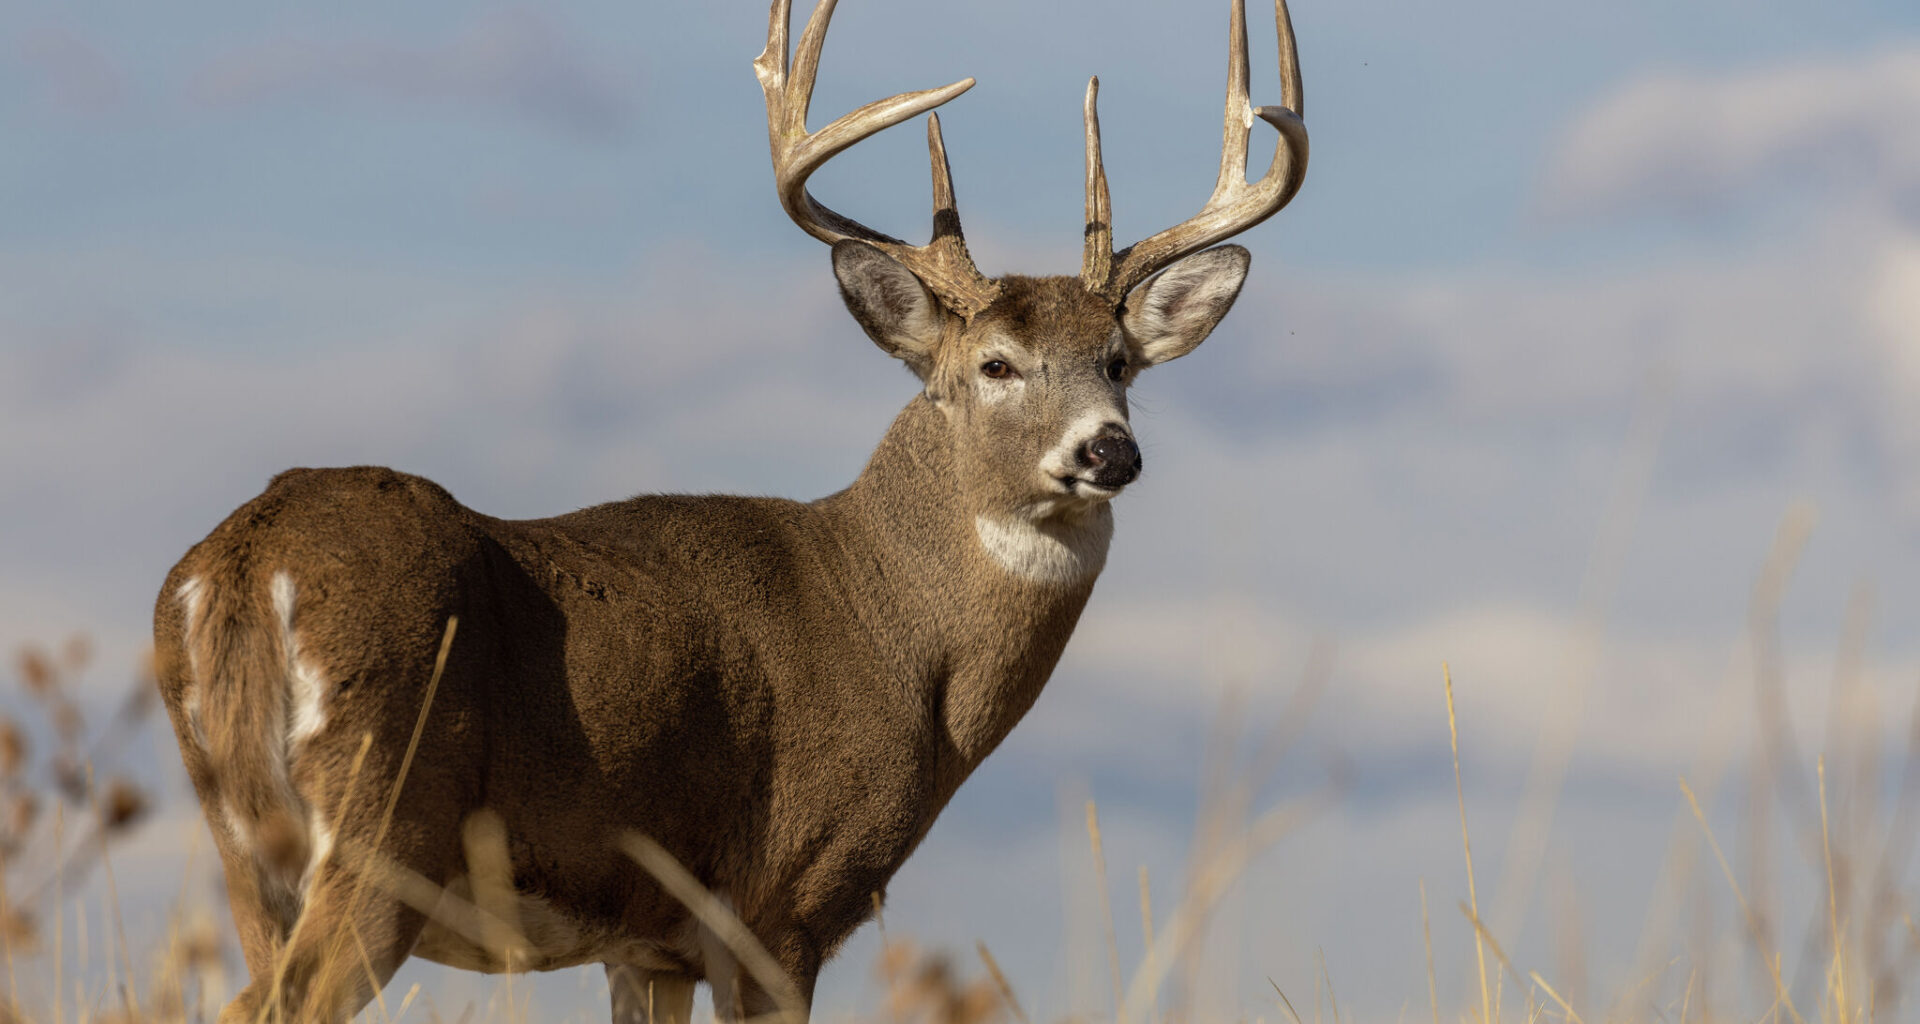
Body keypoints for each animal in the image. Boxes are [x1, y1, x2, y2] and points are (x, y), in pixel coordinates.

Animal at [151, 1, 1307, 1021]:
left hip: (245, 847)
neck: (892, 630)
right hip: (382, 822)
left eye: (1118, 362)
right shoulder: (784, 900)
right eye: (995, 364)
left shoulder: (647, 942)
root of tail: (241, 564)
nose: (1110, 449)